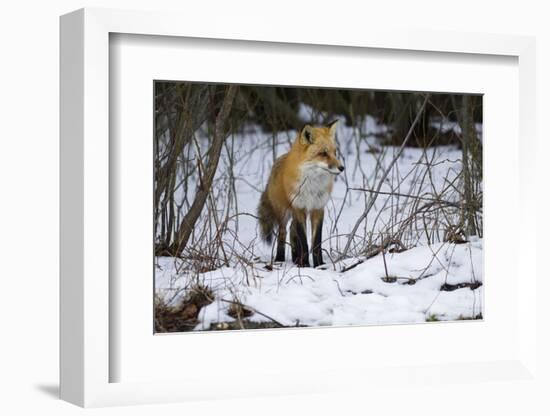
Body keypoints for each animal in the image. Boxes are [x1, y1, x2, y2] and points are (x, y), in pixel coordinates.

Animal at [258, 120, 344, 266]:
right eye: (323, 153)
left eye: (335, 152)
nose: (342, 168)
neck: (312, 186)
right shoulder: (299, 208)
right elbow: (304, 242)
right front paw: (306, 265)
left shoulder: (318, 208)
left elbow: (316, 243)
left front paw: (319, 265)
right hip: (284, 212)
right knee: (283, 233)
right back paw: (280, 259)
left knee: (292, 233)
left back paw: (295, 259)